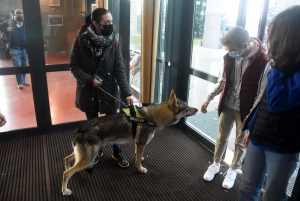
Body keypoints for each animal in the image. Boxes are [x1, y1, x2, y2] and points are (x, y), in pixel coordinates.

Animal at [61, 89, 197, 195]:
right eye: (186, 107)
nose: (196, 109)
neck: (152, 117)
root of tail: (79, 129)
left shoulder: (138, 144)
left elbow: (138, 155)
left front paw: (141, 158)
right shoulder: (141, 143)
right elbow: (137, 160)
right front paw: (140, 169)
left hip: (83, 156)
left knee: (66, 159)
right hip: (88, 159)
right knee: (66, 173)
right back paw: (65, 190)